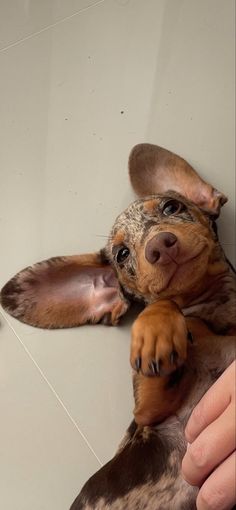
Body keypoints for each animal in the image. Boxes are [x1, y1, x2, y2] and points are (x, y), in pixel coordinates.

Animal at [0, 143, 235, 510]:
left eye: (172, 206)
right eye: (122, 254)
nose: (159, 245)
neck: (217, 316)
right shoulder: (148, 415)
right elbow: (162, 305)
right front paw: (155, 331)